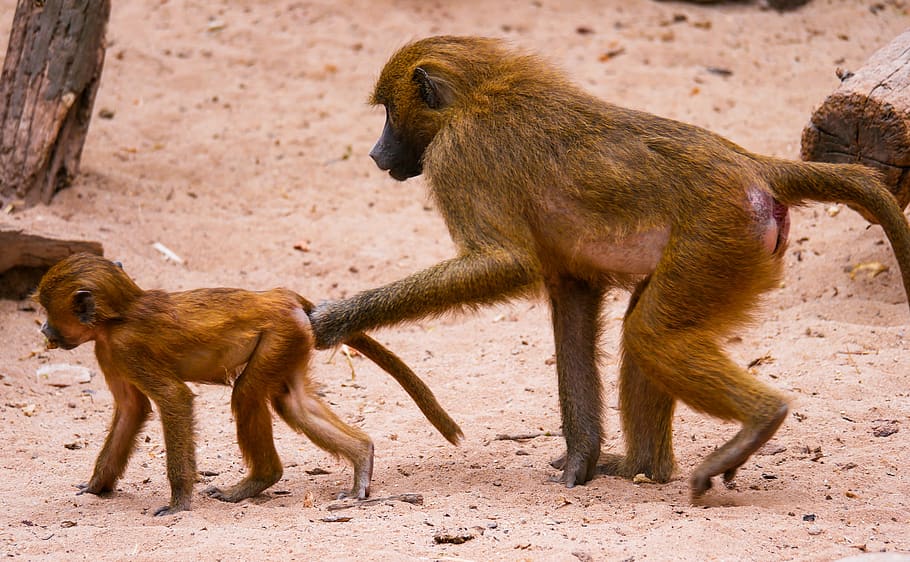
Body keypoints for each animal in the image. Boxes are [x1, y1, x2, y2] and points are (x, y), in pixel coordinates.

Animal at [34, 252, 462, 516]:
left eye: (47, 310)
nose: (43, 330)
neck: (120, 314)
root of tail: (280, 297)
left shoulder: (124, 347)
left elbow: (174, 398)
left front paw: (179, 502)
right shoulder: (108, 350)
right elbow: (130, 409)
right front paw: (96, 487)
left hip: (279, 336)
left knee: (247, 395)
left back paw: (259, 480)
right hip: (292, 340)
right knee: (292, 401)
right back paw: (361, 458)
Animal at [308, 35, 910, 499]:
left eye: (390, 113)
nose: (375, 153)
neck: (479, 96)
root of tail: (752, 166)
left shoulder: (459, 155)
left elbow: (506, 264)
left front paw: (336, 319)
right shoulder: (573, 274)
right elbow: (572, 298)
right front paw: (583, 458)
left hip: (718, 237)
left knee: (652, 334)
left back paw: (760, 420)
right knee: (644, 332)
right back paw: (644, 468)